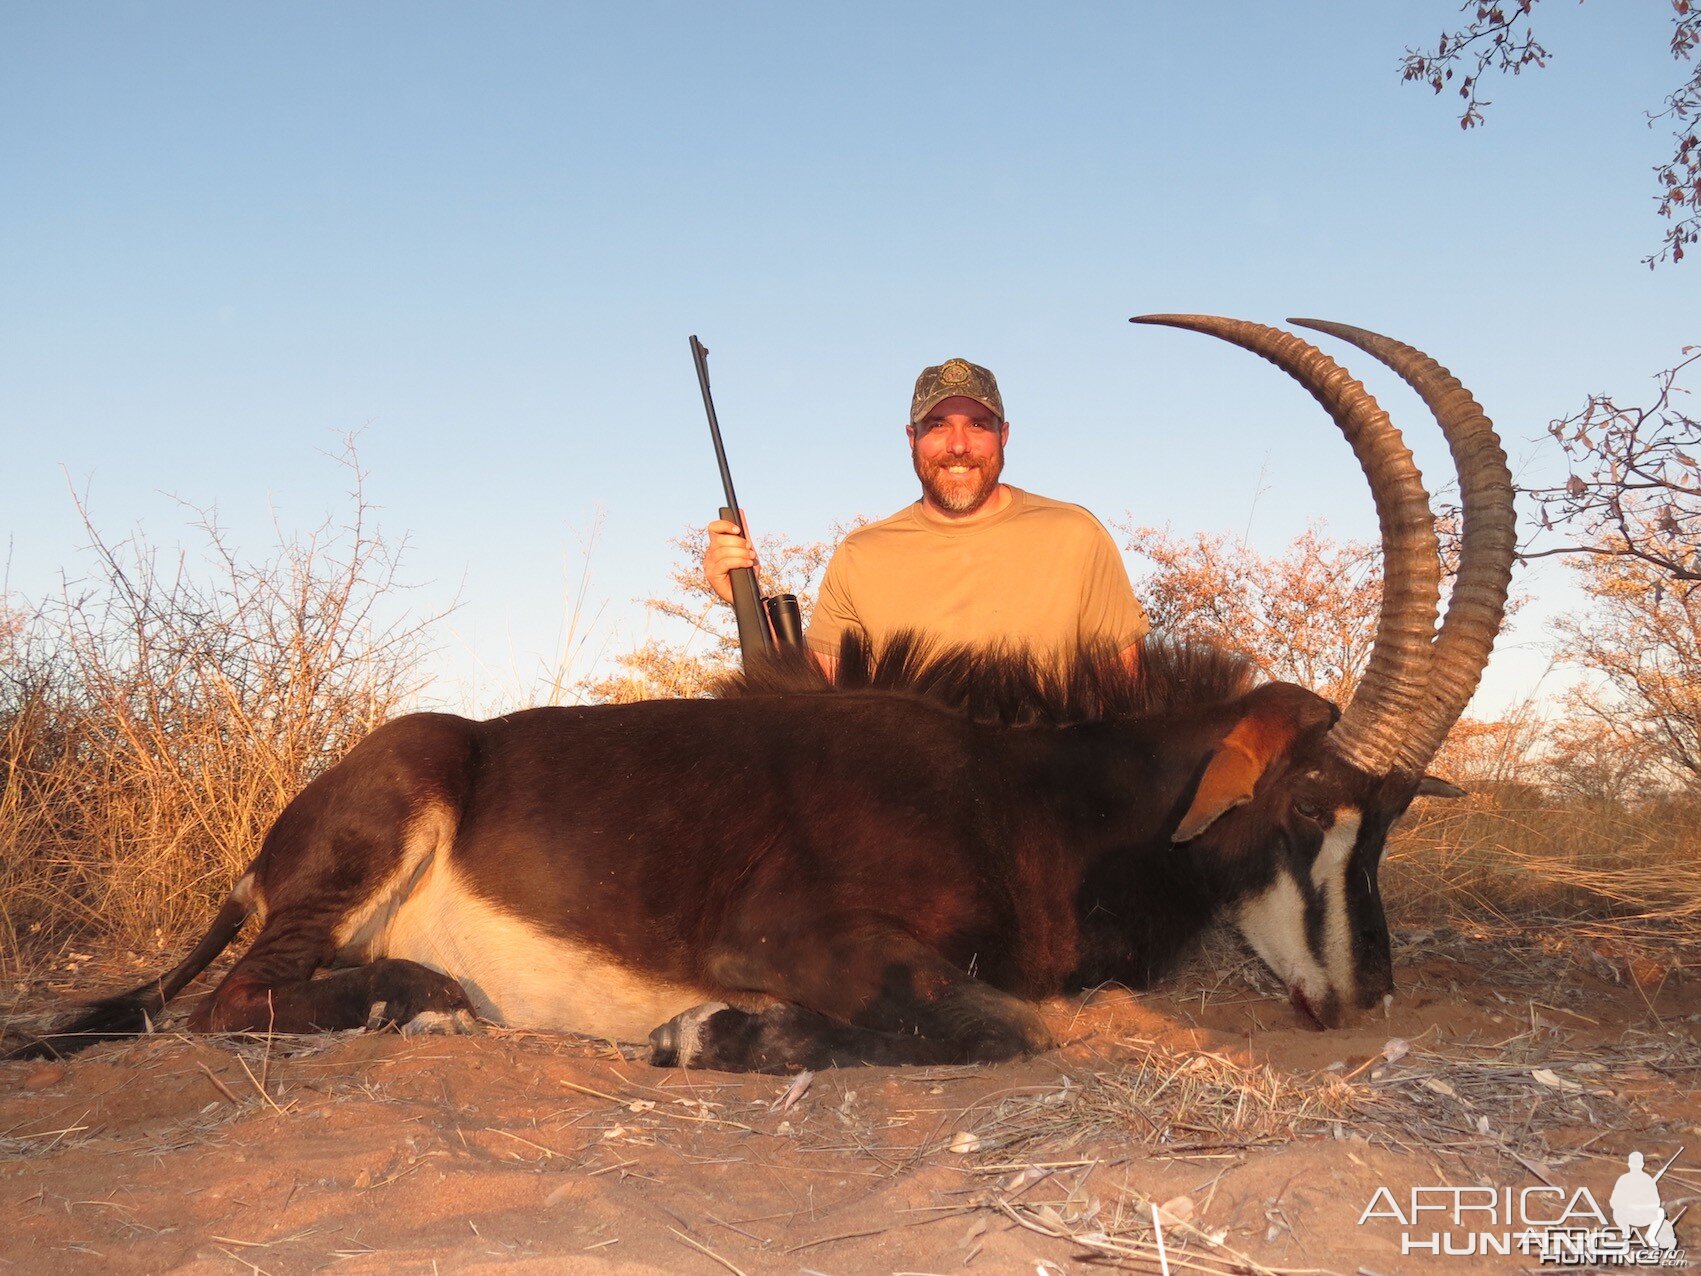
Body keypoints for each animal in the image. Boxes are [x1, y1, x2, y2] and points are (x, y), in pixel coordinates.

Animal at [9, 314, 1517, 1075]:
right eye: (1306, 810)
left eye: (1385, 825)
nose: (1364, 997)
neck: (1027, 797)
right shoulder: (801, 939)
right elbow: (1013, 1023)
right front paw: (702, 1028)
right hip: (382, 819)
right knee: (228, 1001)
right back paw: (423, 998)